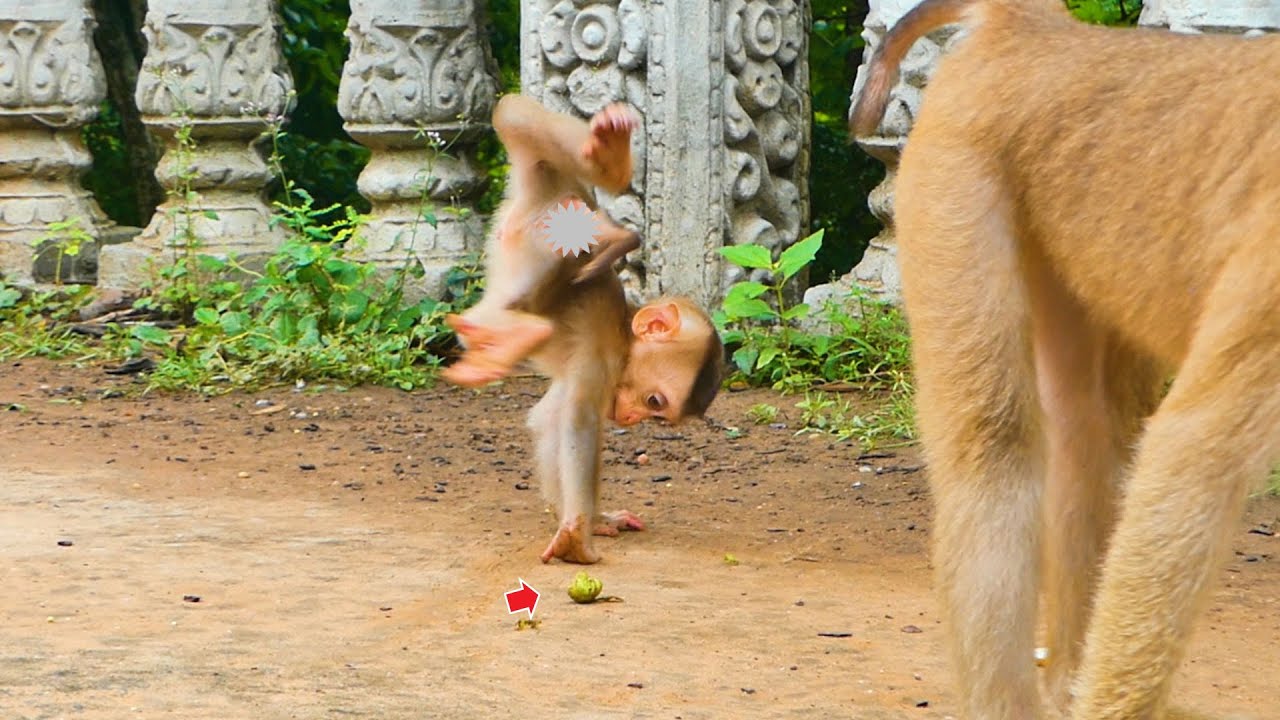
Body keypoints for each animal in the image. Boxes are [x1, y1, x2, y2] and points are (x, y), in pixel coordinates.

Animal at [850, 1, 1280, 718]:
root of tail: (1038, 30)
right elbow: (1195, 458)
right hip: (956, 167)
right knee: (994, 449)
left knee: (1090, 432)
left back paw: (1068, 680)